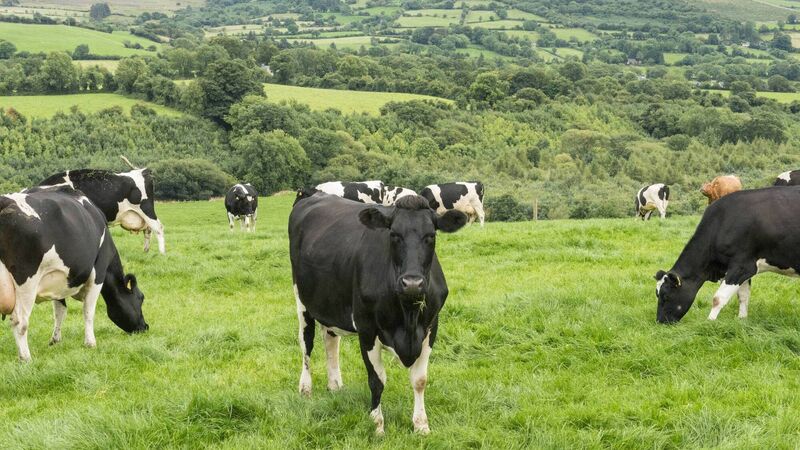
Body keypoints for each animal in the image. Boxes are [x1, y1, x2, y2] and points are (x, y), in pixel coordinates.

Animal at [0, 186, 148, 361]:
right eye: (140, 299)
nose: (145, 327)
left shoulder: (58, 278)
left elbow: (60, 311)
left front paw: (55, 340)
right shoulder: (98, 274)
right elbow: (88, 311)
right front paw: (90, 343)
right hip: (27, 281)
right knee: (20, 321)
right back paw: (26, 358)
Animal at [35, 157, 165, 254]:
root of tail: (142, 171)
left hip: (146, 208)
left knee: (157, 227)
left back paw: (162, 253)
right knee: (148, 229)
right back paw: (146, 251)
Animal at [289, 193, 467, 435]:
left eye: (431, 235)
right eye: (394, 235)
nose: (412, 283)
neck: (408, 319)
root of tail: (315, 194)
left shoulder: (431, 327)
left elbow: (420, 379)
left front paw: (421, 425)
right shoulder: (367, 329)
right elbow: (377, 380)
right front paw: (377, 424)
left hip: (330, 303)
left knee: (330, 341)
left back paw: (335, 385)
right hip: (302, 300)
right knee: (306, 343)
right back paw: (306, 388)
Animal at [655, 186, 800, 324]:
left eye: (665, 296)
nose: (660, 321)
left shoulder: (741, 266)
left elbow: (718, 298)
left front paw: (709, 322)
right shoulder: (744, 270)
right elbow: (743, 296)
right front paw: (742, 319)